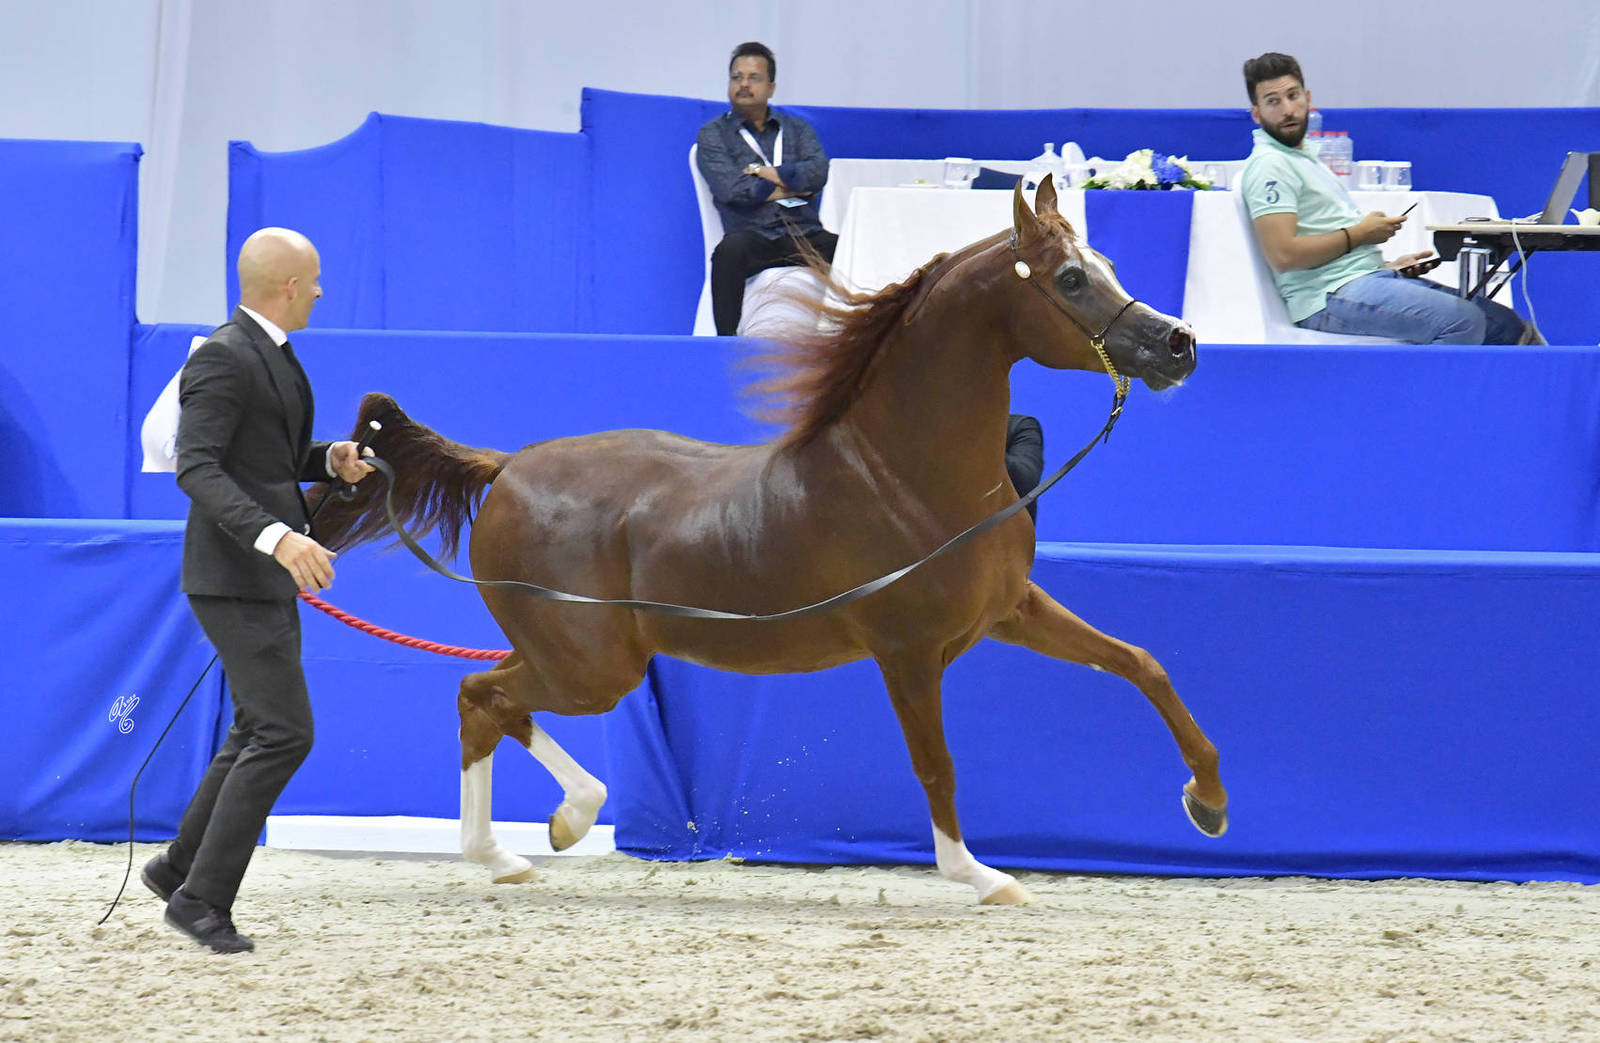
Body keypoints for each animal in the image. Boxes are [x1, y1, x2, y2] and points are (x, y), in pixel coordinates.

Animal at [313, 178, 1226, 905]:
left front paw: (1208, 802)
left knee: (489, 698)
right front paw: (981, 876)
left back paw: (538, 838)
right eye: (1071, 277)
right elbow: (936, 761)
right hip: (591, 665)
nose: (1180, 344)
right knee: (483, 696)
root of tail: (505, 467)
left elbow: (1141, 662)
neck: (905, 476)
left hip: (576, 652)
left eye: (1107, 262)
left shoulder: (1010, 611)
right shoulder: (907, 650)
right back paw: (531, 836)